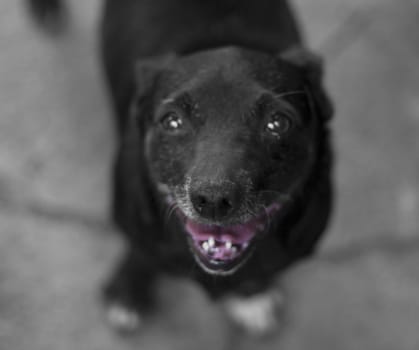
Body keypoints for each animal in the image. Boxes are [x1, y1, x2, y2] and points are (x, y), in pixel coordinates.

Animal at [27, 0, 334, 334]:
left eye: (277, 123)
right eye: (172, 121)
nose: (213, 199)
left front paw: (250, 295)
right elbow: (140, 251)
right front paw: (128, 291)